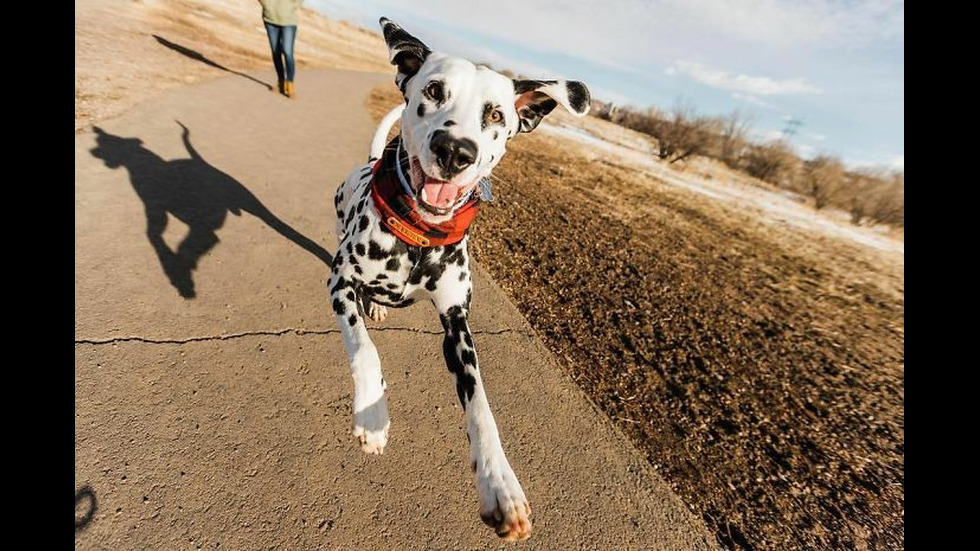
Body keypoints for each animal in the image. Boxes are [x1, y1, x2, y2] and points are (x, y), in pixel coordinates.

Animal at [330, 18, 588, 544]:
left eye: (495, 114)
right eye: (434, 90)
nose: (454, 151)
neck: (418, 237)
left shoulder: (457, 325)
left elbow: (481, 407)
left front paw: (500, 484)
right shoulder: (340, 285)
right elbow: (364, 349)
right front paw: (373, 416)